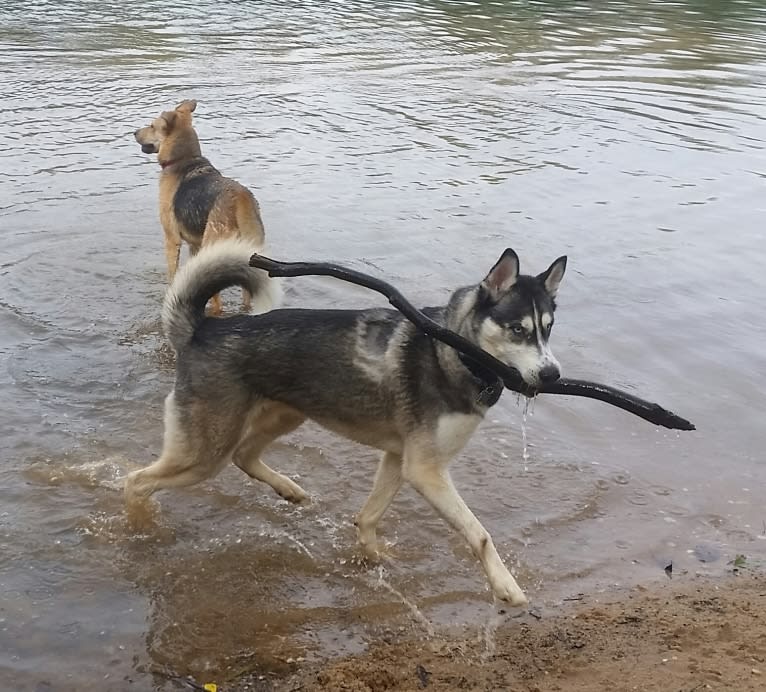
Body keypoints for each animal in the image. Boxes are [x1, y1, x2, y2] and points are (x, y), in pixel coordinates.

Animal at [126, 239, 568, 604]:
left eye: (547, 329)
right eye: (517, 330)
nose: (552, 375)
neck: (454, 351)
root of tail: (204, 328)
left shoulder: (398, 458)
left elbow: (368, 516)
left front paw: (374, 557)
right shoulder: (425, 470)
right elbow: (480, 534)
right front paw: (505, 586)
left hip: (285, 416)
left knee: (244, 456)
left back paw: (290, 490)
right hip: (204, 453)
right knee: (136, 482)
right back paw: (142, 528)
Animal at [136, 99, 268, 314]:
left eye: (153, 126)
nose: (134, 133)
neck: (183, 159)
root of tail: (241, 199)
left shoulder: (171, 238)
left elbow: (172, 275)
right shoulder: (194, 244)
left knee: (217, 300)